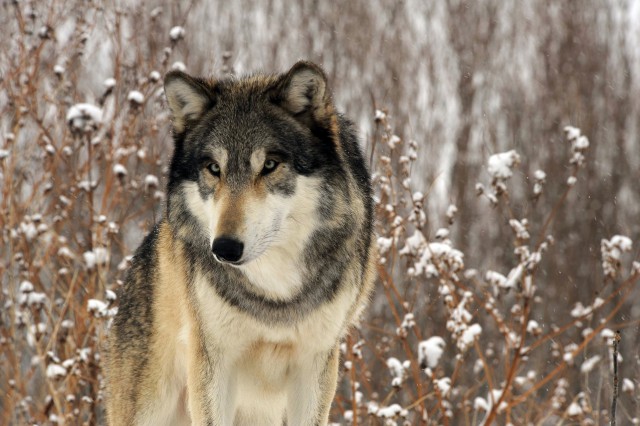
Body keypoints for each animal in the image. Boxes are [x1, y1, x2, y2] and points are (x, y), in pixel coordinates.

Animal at [104, 60, 376, 426]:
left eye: (270, 165)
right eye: (213, 168)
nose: (225, 249)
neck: (275, 292)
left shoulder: (314, 362)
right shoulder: (214, 363)